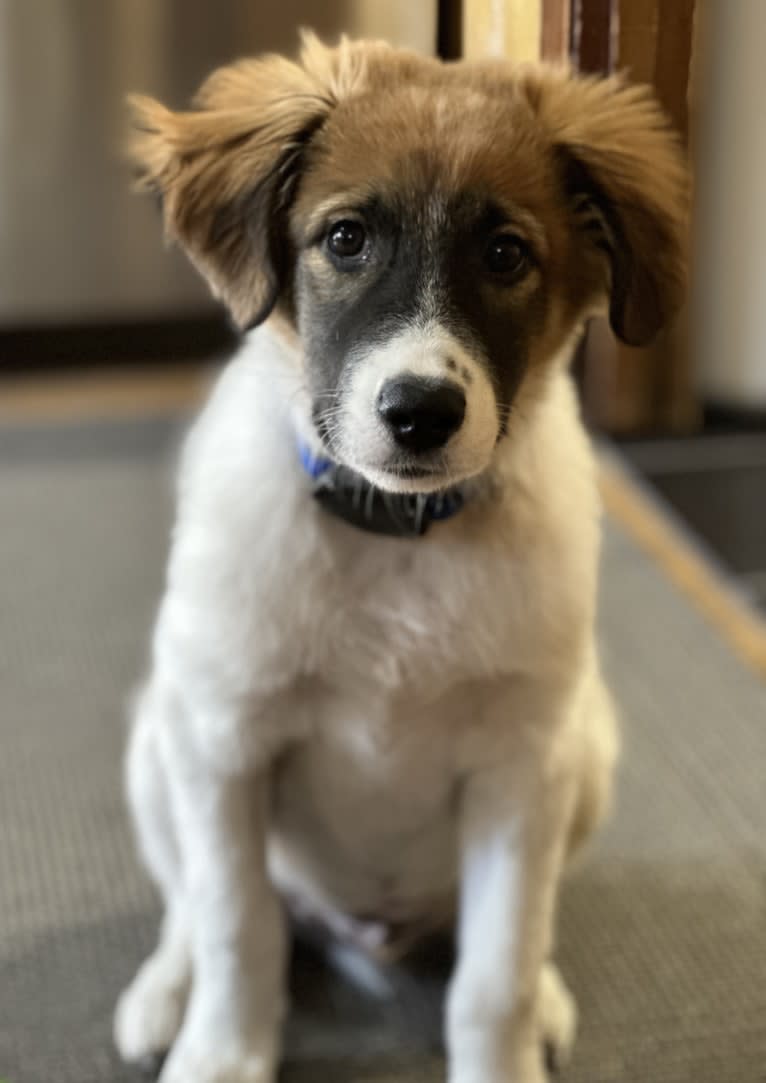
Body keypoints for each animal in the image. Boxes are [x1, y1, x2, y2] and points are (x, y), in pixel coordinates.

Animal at [115, 31, 689, 1083]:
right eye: (345, 239)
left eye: (506, 255)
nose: (421, 412)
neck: (397, 533)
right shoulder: (223, 738)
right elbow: (236, 925)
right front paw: (222, 1051)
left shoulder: (521, 767)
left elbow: (495, 972)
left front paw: (506, 1052)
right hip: (159, 739)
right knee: (197, 905)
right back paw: (164, 991)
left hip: (585, 750)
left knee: (511, 932)